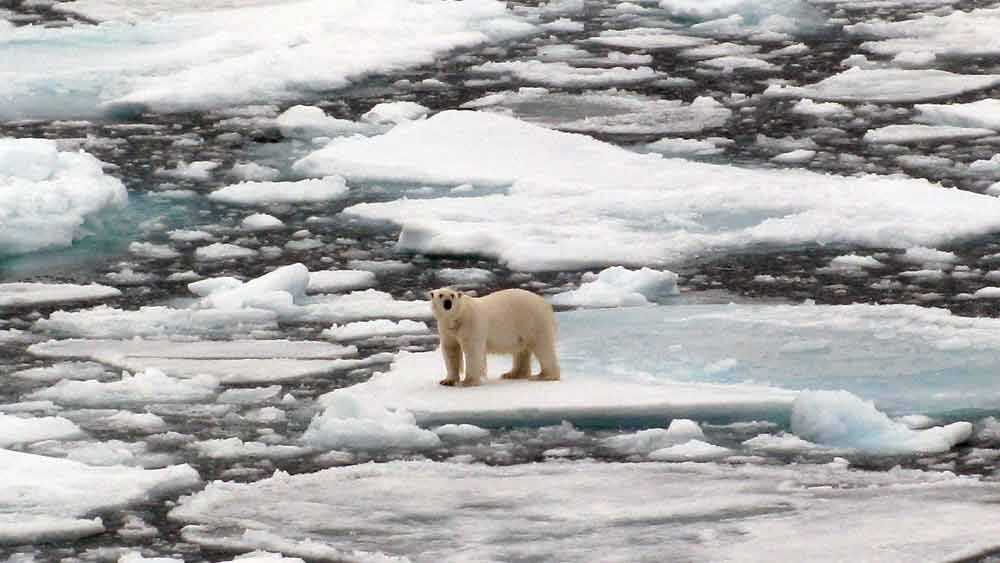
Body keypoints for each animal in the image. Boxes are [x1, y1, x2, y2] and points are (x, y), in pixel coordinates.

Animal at [426, 288, 560, 386]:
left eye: (452, 295)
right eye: (440, 295)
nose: (447, 302)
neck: (458, 318)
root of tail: (546, 304)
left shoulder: (471, 324)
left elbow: (473, 351)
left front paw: (468, 382)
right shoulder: (446, 330)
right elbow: (450, 350)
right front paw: (447, 381)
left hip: (535, 321)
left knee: (543, 347)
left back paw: (544, 376)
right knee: (522, 350)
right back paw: (512, 374)